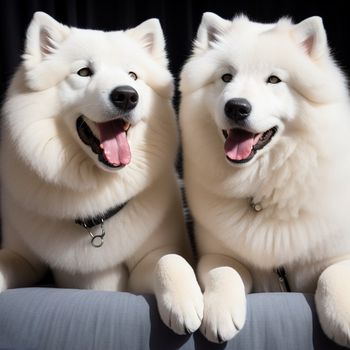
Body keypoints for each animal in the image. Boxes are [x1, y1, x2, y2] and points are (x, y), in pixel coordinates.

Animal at [0, 11, 202, 336]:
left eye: (133, 76)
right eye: (84, 72)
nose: (126, 96)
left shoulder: (150, 258)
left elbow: (169, 259)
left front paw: (185, 302)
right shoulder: (23, 257)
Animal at [179, 12, 350, 346]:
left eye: (273, 80)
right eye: (226, 77)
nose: (236, 106)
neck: (265, 189)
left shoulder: (338, 254)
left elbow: (331, 276)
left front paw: (343, 318)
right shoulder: (216, 252)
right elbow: (223, 271)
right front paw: (220, 311)